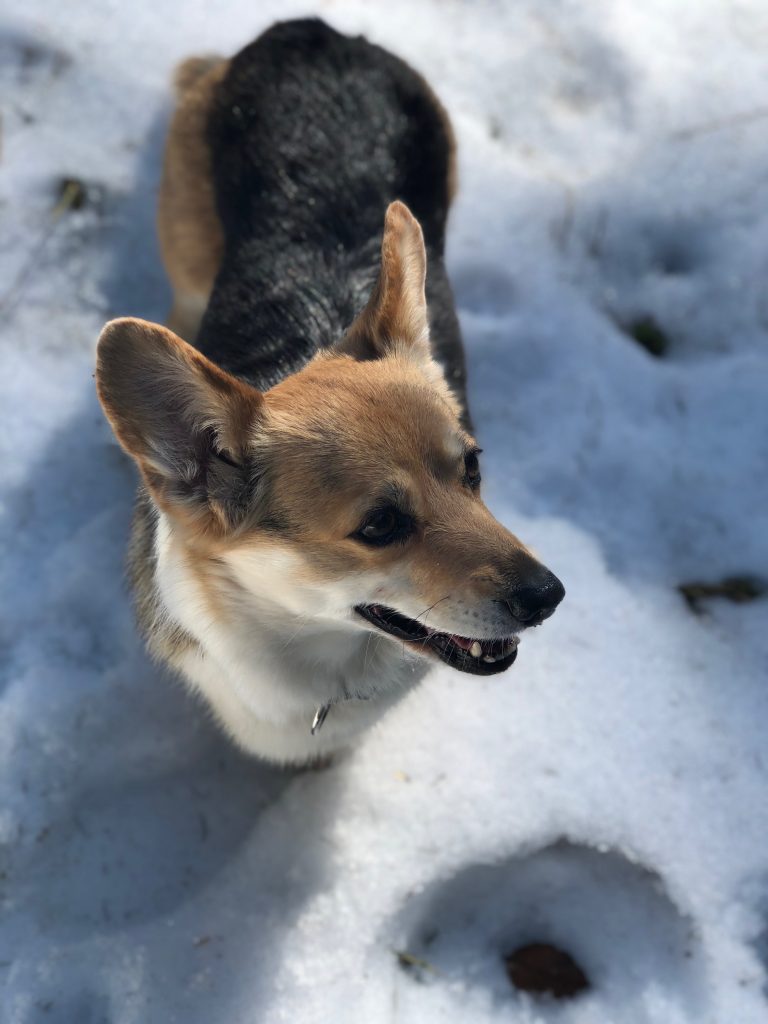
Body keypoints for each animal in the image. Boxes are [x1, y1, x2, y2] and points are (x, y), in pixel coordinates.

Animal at [94, 19, 565, 765]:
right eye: (379, 525)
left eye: (473, 468)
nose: (549, 596)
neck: (317, 658)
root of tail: (310, 31)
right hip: (188, 261)